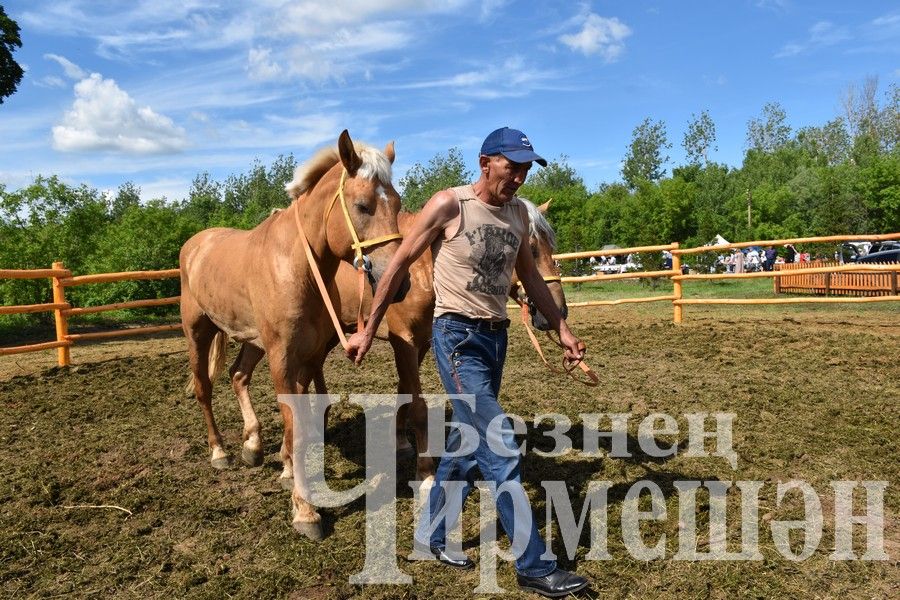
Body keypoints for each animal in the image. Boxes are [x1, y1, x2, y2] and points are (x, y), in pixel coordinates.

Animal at [179, 130, 404, 540]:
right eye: (363, 206)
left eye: (397, 204)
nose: (398, 282)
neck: (298, 265)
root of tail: (195, 245)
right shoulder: (283, 356)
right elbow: (294, 422)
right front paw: (305, 510)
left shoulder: (307, 354)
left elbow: (300, 414)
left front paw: (287, 470)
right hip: (198, 333)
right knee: (204, 387)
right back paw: (220, 452)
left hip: (254, 342)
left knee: (238, 376)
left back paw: (253, 445)